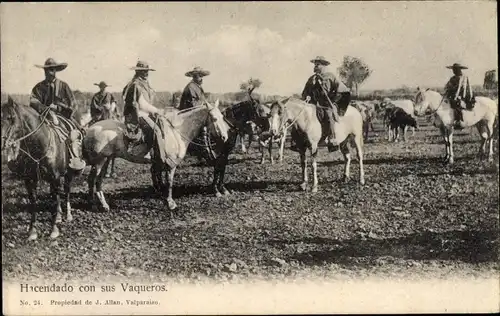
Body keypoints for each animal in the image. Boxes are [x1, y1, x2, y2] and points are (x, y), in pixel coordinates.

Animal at [0, 96, 84, 239]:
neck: (39, 145)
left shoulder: (55, 177)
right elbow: (33, 201)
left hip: (68, 173)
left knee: (66, 191)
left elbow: (55, 200)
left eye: (11, 118)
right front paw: (32, 231)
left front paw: (54, 230)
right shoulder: (29, 179)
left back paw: (67, 215)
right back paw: (60, 216)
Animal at [83, 100, 229, 211]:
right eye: (215, 118)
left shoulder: (159, 163)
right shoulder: (171, 165)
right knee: (91, 180)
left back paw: (104, 205)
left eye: (223, 117)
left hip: (106, 159)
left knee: (98, 181)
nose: (224, 137)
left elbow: (159, 180)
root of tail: (90, 129)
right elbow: (169, 182)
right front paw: (170, 203)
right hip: (99, 161)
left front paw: (162, 197)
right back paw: (93, 205)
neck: (176, 132)